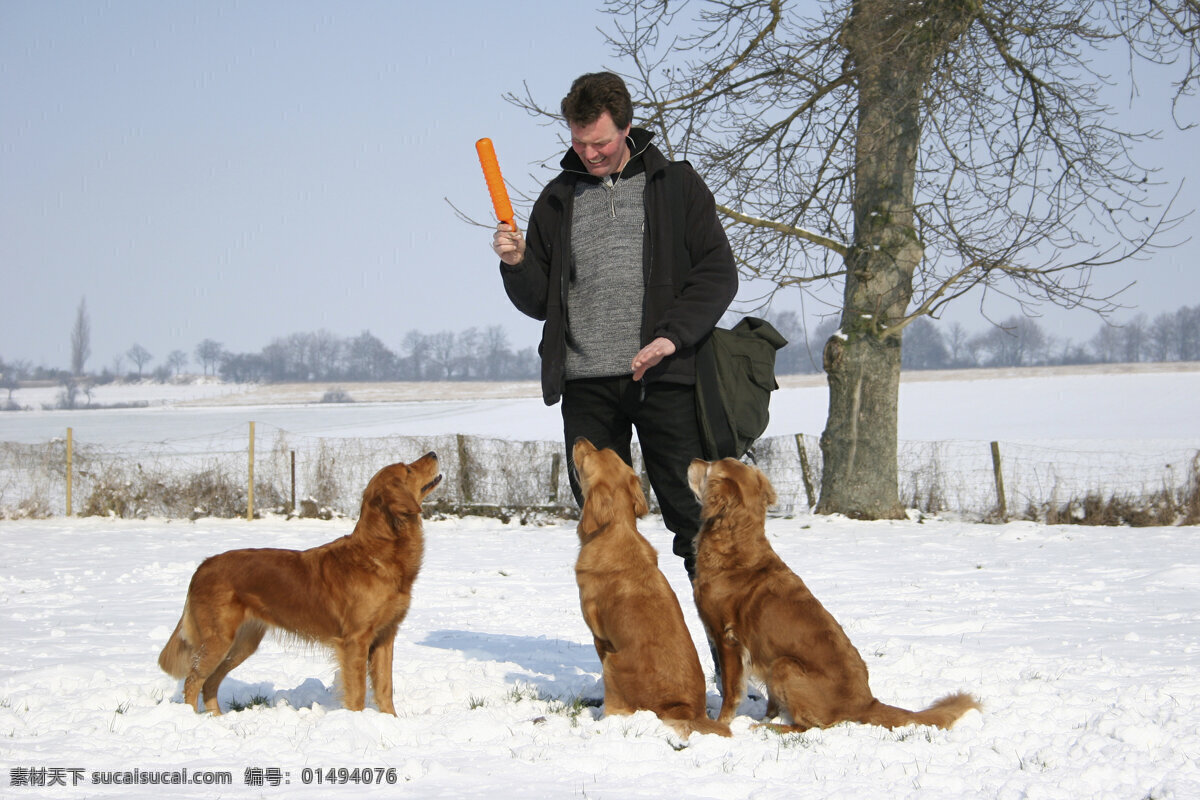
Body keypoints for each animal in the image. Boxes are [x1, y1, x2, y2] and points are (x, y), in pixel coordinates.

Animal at [158, 453, 441, 714]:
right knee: (193, 680)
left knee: (210, 682)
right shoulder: (355, 640)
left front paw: (391, 720)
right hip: (219, 639)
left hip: (242, 643)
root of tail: (203, 566)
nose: (433, 453)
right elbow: (358, 692)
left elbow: (385, 687)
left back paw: (217, 719)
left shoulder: (385, 636)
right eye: (408, 469)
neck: (377, 552)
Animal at [571, 438, 729, 738]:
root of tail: (690, 711)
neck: (616, 533)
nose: (579, 440)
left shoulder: (600, 637)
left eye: (588, 457)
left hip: (613, 662)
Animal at [691, 460, 979, 734]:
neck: (736, 546)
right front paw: (763, 714)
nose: (693, 459)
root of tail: (867, 702)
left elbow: (730, 691)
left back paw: (768, 727)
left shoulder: (727, 640)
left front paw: (721, 723)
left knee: (809, 726)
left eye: (710, 466)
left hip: (785, 665)